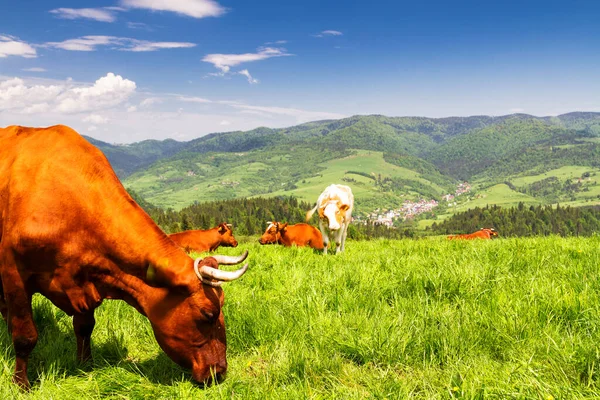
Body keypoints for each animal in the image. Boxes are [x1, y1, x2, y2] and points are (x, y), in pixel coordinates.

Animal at [0, 126, 248, 390]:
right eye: (208, 314)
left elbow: (84, 327)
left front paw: (86, 365)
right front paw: (21, 384)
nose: (220, 372)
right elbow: (25, 336)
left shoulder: (88, 277)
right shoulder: (13, 273)